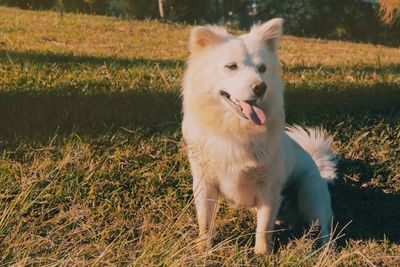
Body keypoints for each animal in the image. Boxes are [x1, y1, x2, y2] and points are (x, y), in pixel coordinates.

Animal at [180, 18, 334, 255]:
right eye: (231, 67)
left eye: (262, 69)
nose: (261, 87)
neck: (234, 130)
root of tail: (318, 167)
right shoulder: (204, 184)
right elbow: (205, 221)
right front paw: (203, 249)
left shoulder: (268, 189)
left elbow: (263, 228)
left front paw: (261, 254)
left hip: (311, 195)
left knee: (323, 228)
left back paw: (323, 251)